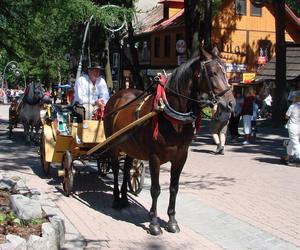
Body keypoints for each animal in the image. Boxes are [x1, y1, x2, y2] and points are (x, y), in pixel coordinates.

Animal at [104, 48, 236, 234]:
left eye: (225, 71)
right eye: (212, 73)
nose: (231, 103)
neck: (171, 116)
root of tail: (118, 94)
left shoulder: (181, 157)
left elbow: (174, 188)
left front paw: (172, 221)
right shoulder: (154, 158)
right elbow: (155, 189)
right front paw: (154, 223)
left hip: (130, 147)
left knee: (128, 167)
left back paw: (124, 198)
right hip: (114, 146)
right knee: (116, 170)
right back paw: (116, 199)